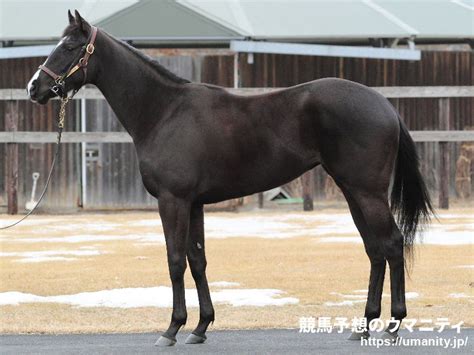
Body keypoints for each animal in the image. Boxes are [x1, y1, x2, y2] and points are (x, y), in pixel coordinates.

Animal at [26, 10, 434, 348]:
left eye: (70, 46)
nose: (34, 88)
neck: (164, 112)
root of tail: (384, 105)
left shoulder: (173, 200)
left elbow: (175, 260)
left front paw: (171, 329)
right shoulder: (194, 204)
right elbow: (197, 260)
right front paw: (200, 327)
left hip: (367, 193)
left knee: (392, 244)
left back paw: (393, 327)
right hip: (352, 191)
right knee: (375, 250)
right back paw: (362, 326)